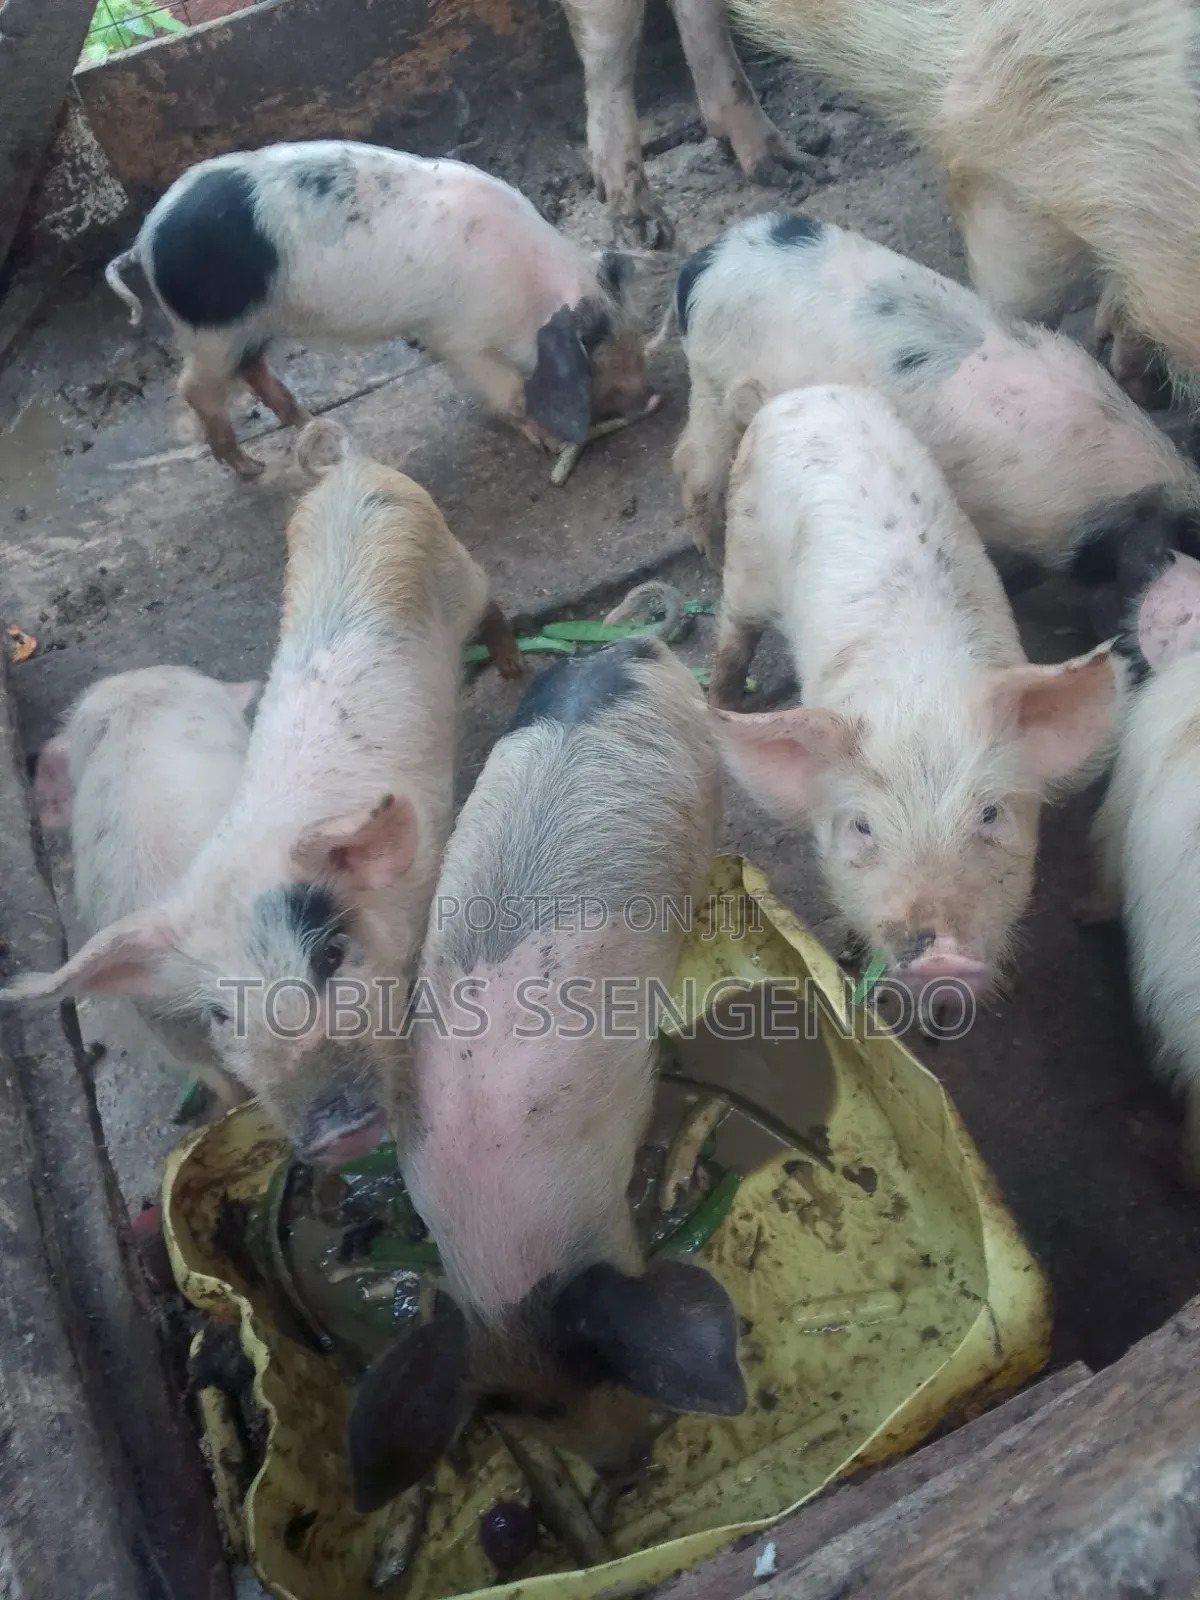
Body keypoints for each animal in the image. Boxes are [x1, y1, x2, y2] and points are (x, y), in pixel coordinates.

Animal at [104, 141, 651, 478]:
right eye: (592, 352)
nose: (647, 398)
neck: (529, 289)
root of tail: (144, 242)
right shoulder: (460, 337)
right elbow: (510, 393)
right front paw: (549, 445)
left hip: (251, 325)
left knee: (252, 367)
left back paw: (305, 421)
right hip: (211, 330)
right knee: (194, 388)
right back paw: (251, 469)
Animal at [707, 384, 1117, 1012]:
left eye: (990, 813)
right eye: (862, 827)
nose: (940, 953)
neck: (917, 690)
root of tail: (805, 393)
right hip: (744, 555)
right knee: (733, 630)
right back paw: (718, 694)